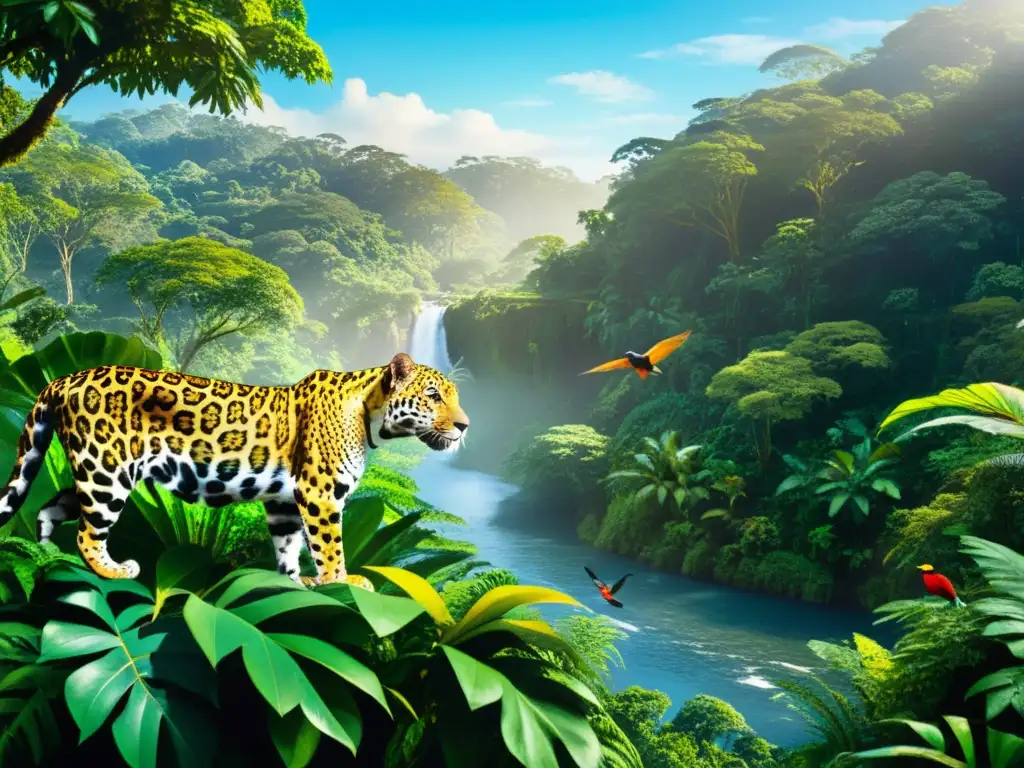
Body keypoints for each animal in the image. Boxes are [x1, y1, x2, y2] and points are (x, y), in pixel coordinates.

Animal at [0, 352, 469, 589]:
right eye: (433, 396)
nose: (464, 426)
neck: (370, 412)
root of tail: (64, 379)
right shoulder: (320, 495)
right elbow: (330, 545)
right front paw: (342, 580)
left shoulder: (285, 501)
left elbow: (288, 546)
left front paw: (296, 582)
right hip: (108, 471)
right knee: (87, 531)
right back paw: (112, 570)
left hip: (93, 469)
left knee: (50, 508)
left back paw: (46, 556)